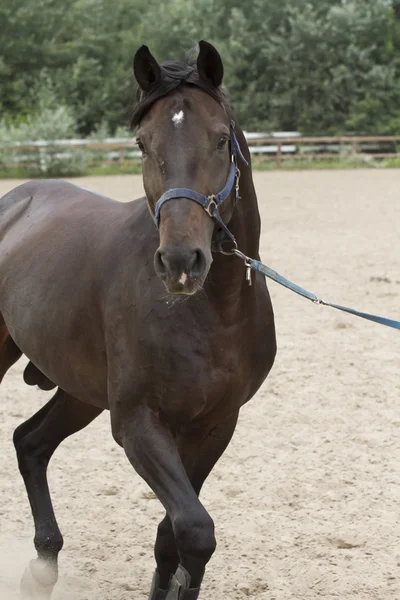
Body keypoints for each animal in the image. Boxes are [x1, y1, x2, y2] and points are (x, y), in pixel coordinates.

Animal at [0, 41, 276, 596]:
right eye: (143, 144)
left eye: (221, 139)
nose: (181, 261)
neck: (214, 314)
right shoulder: (137, 424)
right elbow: (195, 530)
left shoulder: (216, 425)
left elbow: (173, 537)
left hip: (80, 391)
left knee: (30, 443)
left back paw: (44, 564)